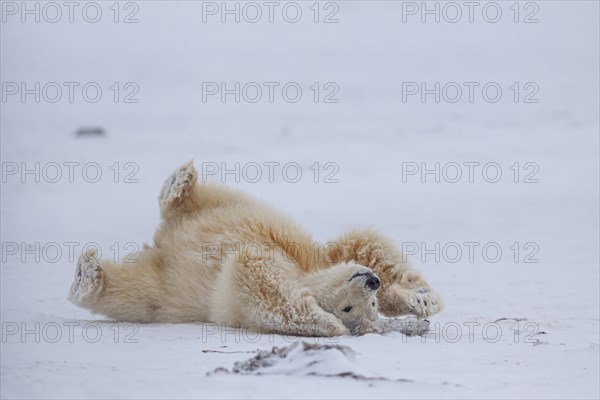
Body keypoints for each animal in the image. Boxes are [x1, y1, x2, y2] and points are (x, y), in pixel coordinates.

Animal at [70, 161, 442, 336]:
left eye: (356, 308)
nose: (371, 282)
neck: (303, 274)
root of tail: (163, 242)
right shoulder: (314, 257)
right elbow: (362, 244)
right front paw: (421, 298)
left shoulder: (239, 303)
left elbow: (255, 272)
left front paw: (328, 323)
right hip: (230, 208)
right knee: (207, 200)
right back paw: (180, 182)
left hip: (164, 291)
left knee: (131, 294)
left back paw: (87, 278)